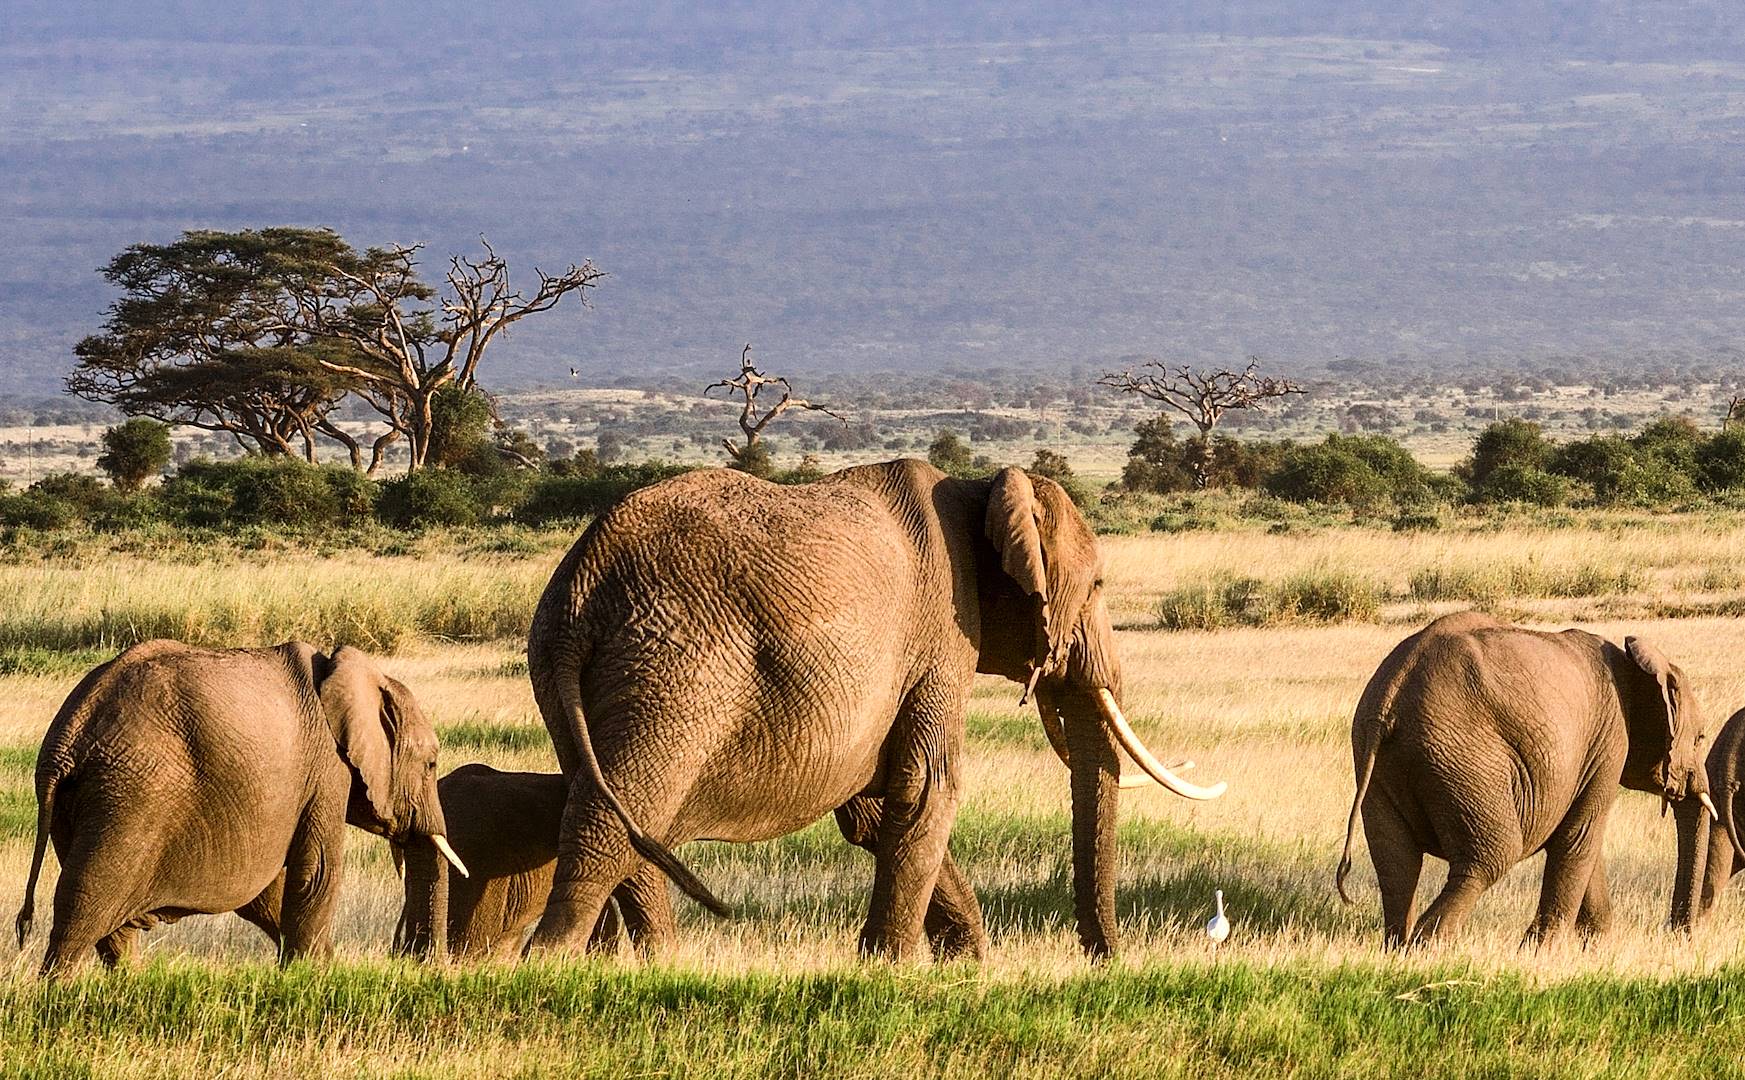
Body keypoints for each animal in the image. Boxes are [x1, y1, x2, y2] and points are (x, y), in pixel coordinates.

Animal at [17, 638, 467, 977]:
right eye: (431, 764)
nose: (422, 965)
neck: (349, 671)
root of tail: (68, 734)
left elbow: (267, 892)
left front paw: (312, 968)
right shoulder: (327, 770)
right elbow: (317, 872)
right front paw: (309, 976)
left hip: (85, 800)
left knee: (112, 925)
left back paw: (127, 983)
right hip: (130, 793)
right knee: (84, 904)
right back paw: (58, 992)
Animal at [523, 460, 1221, 956]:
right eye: (1099, 585)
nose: (1105, 959)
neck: (983, 491)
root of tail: (583, 583)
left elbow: (873, 811)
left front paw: (965, 962)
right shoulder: (941, 634)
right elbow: (929, 787)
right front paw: (897, 968)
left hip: (573, 680)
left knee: (616, 813)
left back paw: (653, 963)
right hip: (674, 669)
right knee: (618, 815)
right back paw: (555, 961)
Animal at [1340, 617, 1710, 949]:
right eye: (1700, 738)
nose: (1681, 936)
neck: (1638, 663)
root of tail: (1392, 692)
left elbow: (1578, 839)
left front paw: (1596, 946)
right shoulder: (1609, 740)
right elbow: (1580, 835)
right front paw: (1541, 951)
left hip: (1379, 760)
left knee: (1397, 865)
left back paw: (1397, 948)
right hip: (1465, 758)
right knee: (1491, 856)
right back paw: (1426, 946)